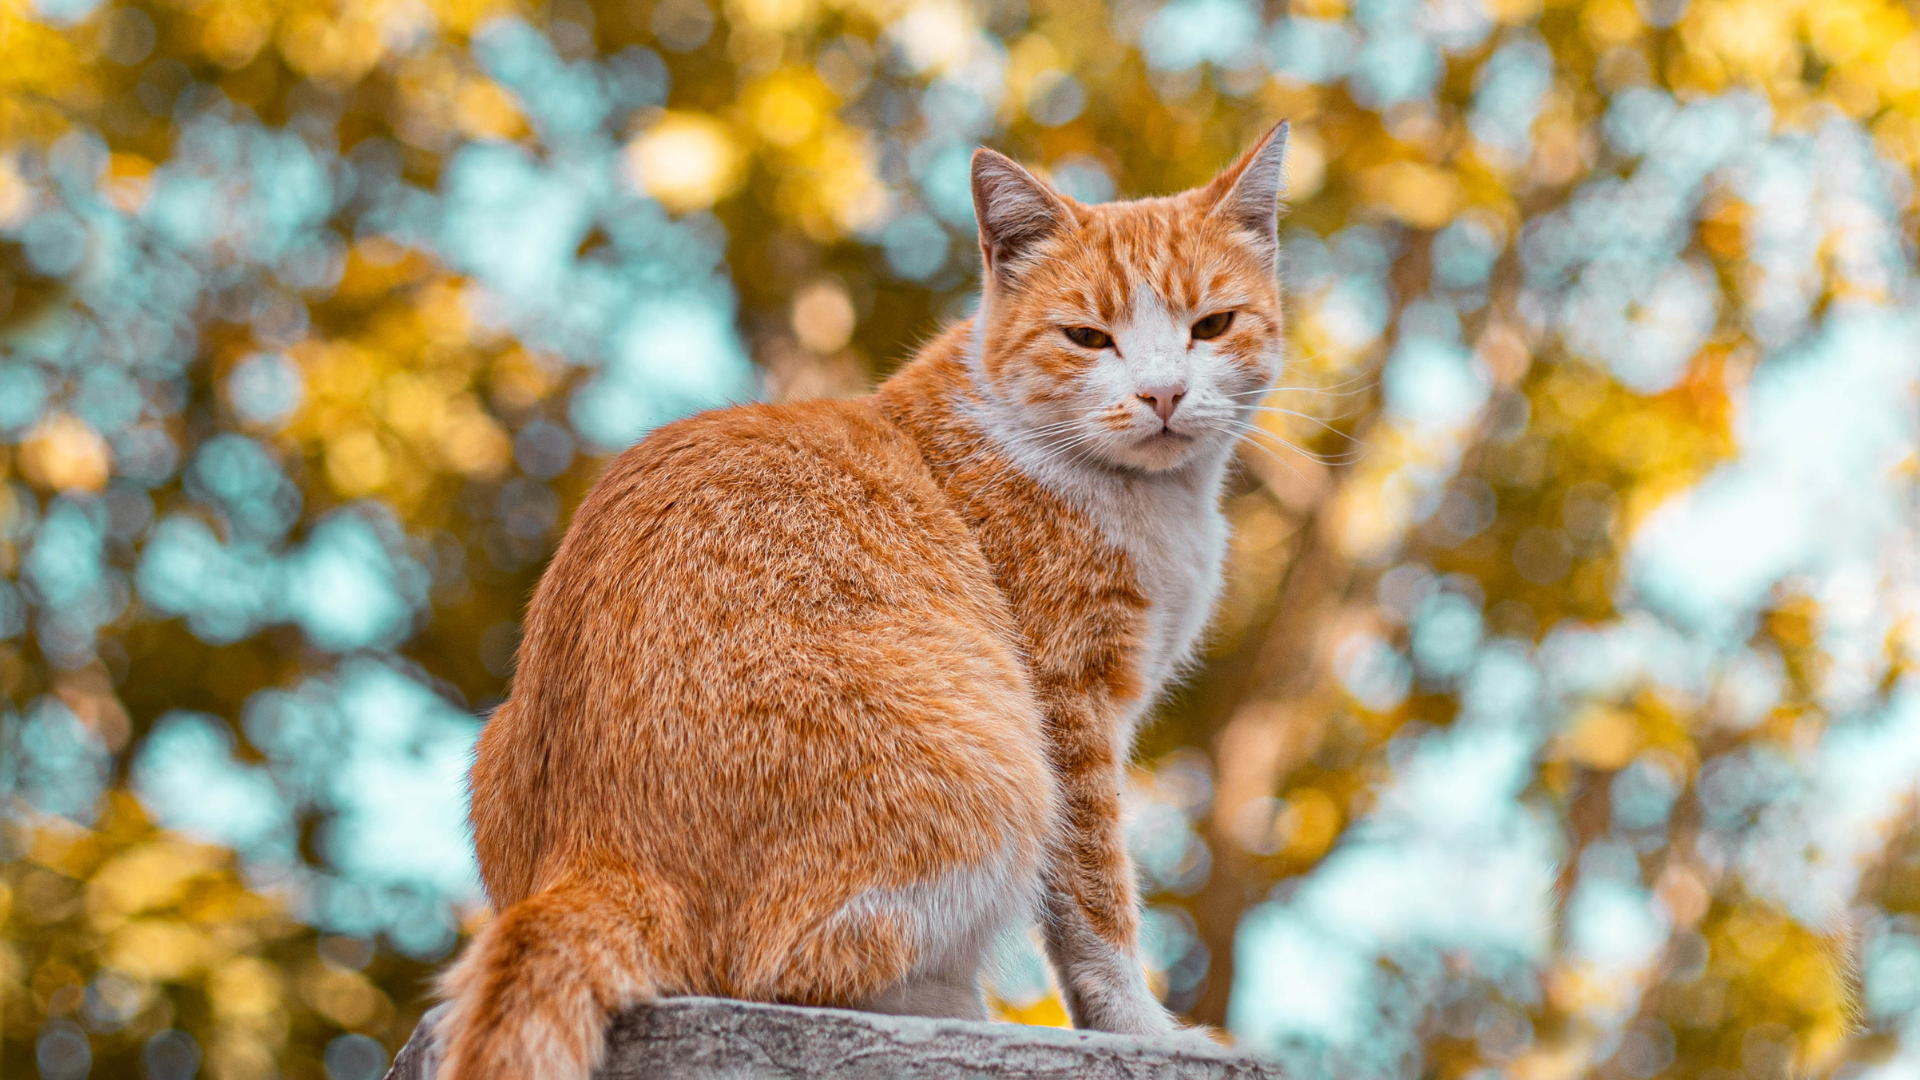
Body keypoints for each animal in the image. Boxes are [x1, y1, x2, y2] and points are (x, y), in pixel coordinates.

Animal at [435, 122, 1290, 1068]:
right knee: (780, 971)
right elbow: (1095, 901)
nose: (1163, 393)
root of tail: (594, 855)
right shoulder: (1069, 711)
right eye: (1086, 337)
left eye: (1211, 326)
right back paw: (954, 1009)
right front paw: (1145, 1031)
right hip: (996, 759)